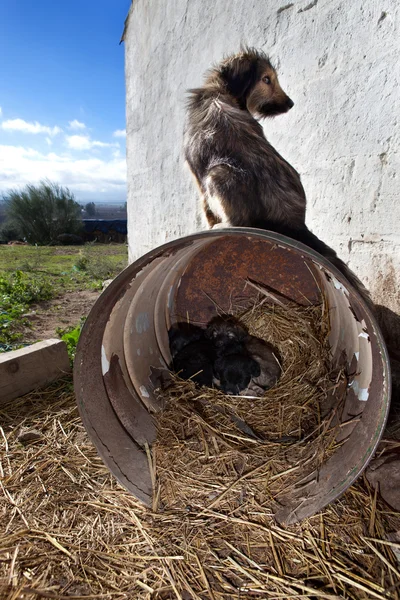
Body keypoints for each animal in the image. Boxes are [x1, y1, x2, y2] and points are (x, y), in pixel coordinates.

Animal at [184, 48, 372, 304]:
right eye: (266, 79)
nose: (291, 103)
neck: (218, 90)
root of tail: (295, 222)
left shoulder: (200, 181)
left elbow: (206, 212)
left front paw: (209, 226)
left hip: (218, 174)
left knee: (237, 220)